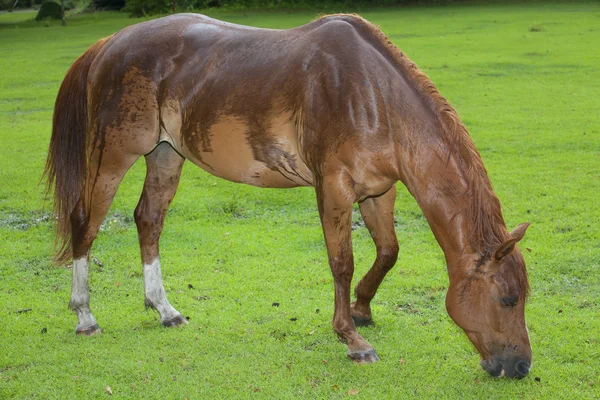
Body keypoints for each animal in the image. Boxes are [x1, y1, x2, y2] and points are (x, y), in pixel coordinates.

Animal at [44, 12, 532, 378]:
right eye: (508, 298)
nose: (521, 367)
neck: (371, 93)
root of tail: (110, 43)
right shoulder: (333, 187)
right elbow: (341, 263)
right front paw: (352, 339)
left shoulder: (379, 191)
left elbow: (388, 252)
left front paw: (362, 309)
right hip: (114, 154)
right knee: (85, 222)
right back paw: (85, 316)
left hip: (166, 154)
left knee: (149, 220)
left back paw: (164, 309)